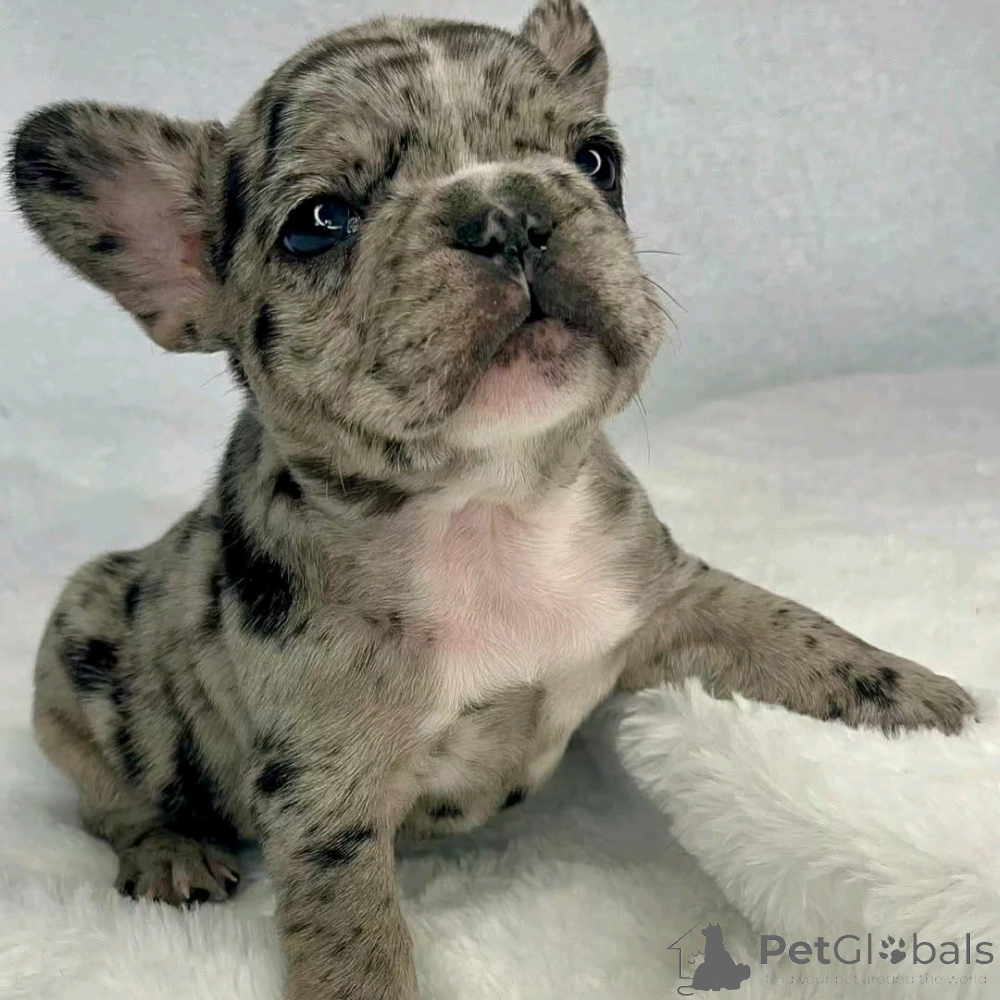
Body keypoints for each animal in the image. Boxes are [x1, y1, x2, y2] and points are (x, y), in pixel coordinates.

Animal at [8, 2, 976, 997]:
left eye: (597, 161)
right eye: (318, 223)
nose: (506, 212)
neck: (487, 506)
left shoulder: (665, 600)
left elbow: (788, 629)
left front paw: (926, 706)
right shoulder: (325, 803)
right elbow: (353, 944)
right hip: (80, 650)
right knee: (109, 801)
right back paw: (169, 850)